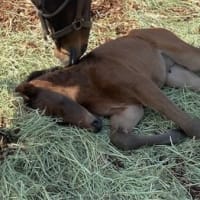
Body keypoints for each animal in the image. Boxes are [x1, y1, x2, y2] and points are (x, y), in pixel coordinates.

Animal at [15, 28, 200, 150]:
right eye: (59, 122)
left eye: (59, 106)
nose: (95, 126)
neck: (88, 85)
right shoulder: (130, 108)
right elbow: (119, 139)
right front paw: (177, 135)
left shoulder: (141, 85)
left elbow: (178, 116)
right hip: (176, 76)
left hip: (187, 57)